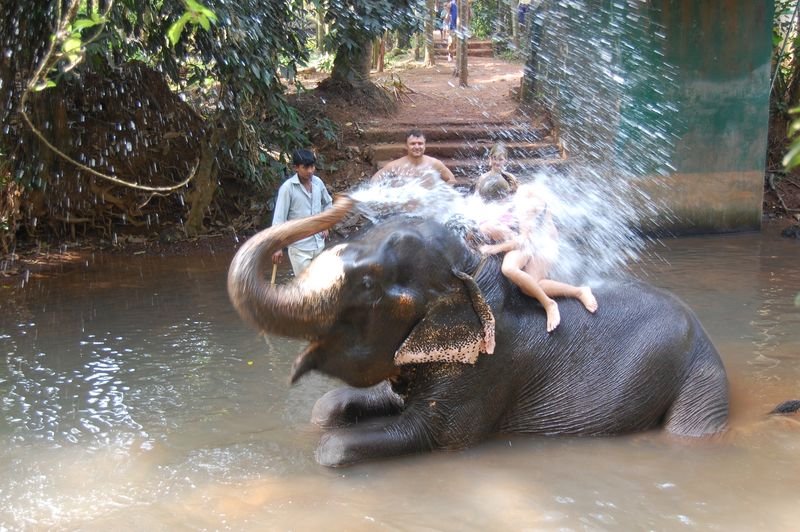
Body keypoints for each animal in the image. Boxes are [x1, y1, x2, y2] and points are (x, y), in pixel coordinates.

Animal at [225, 196, 732, 466]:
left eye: (367, 285)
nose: (344, 200)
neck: (472, 273)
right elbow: (330, 408)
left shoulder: (490, 368)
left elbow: (427, 434)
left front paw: (332, 449)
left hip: (700, 377)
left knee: (691, 431)